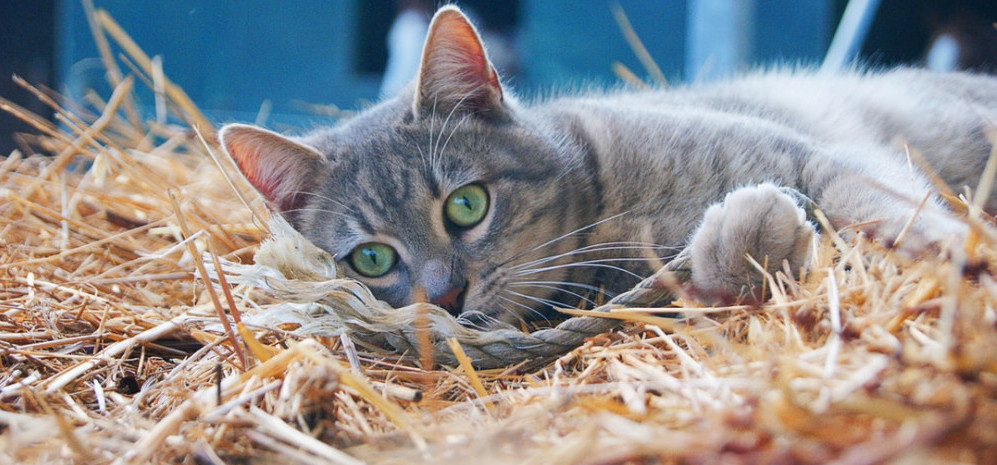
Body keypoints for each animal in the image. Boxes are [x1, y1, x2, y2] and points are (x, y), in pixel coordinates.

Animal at [220, 6, 996, 326]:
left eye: (466, 205)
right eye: (372, 260)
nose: (445, 295)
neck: (608, 210)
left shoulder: (817, 156)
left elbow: (887, 206)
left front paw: (954, 250)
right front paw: (750, 236)